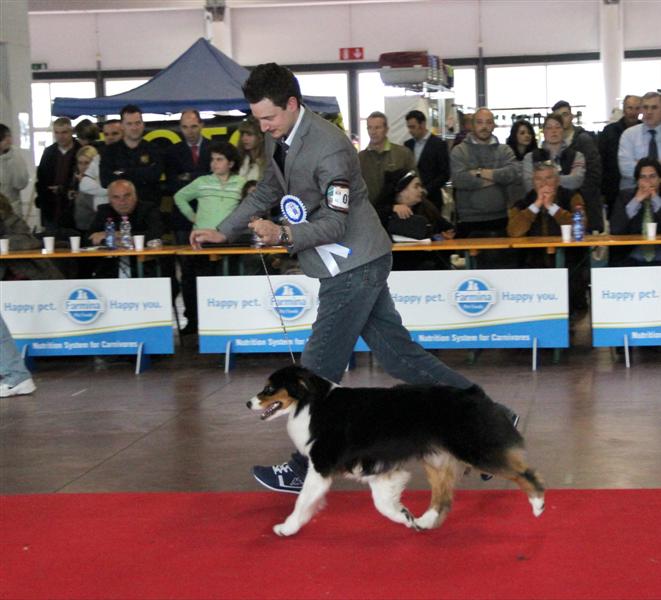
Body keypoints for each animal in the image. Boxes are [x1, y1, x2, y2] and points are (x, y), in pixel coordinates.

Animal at [245, 364, 544, 536]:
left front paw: (287, 527)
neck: (310, 403)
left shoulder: (321, 466)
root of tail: (474, 392)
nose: (248, 403)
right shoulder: (378, 468)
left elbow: (303, 500)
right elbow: (382, 503)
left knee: (523, 472)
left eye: (269, 388)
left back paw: (538, 502)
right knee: (442, 496)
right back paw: (425, 521)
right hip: (436, 457)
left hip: (473, 448)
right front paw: (404, 516)